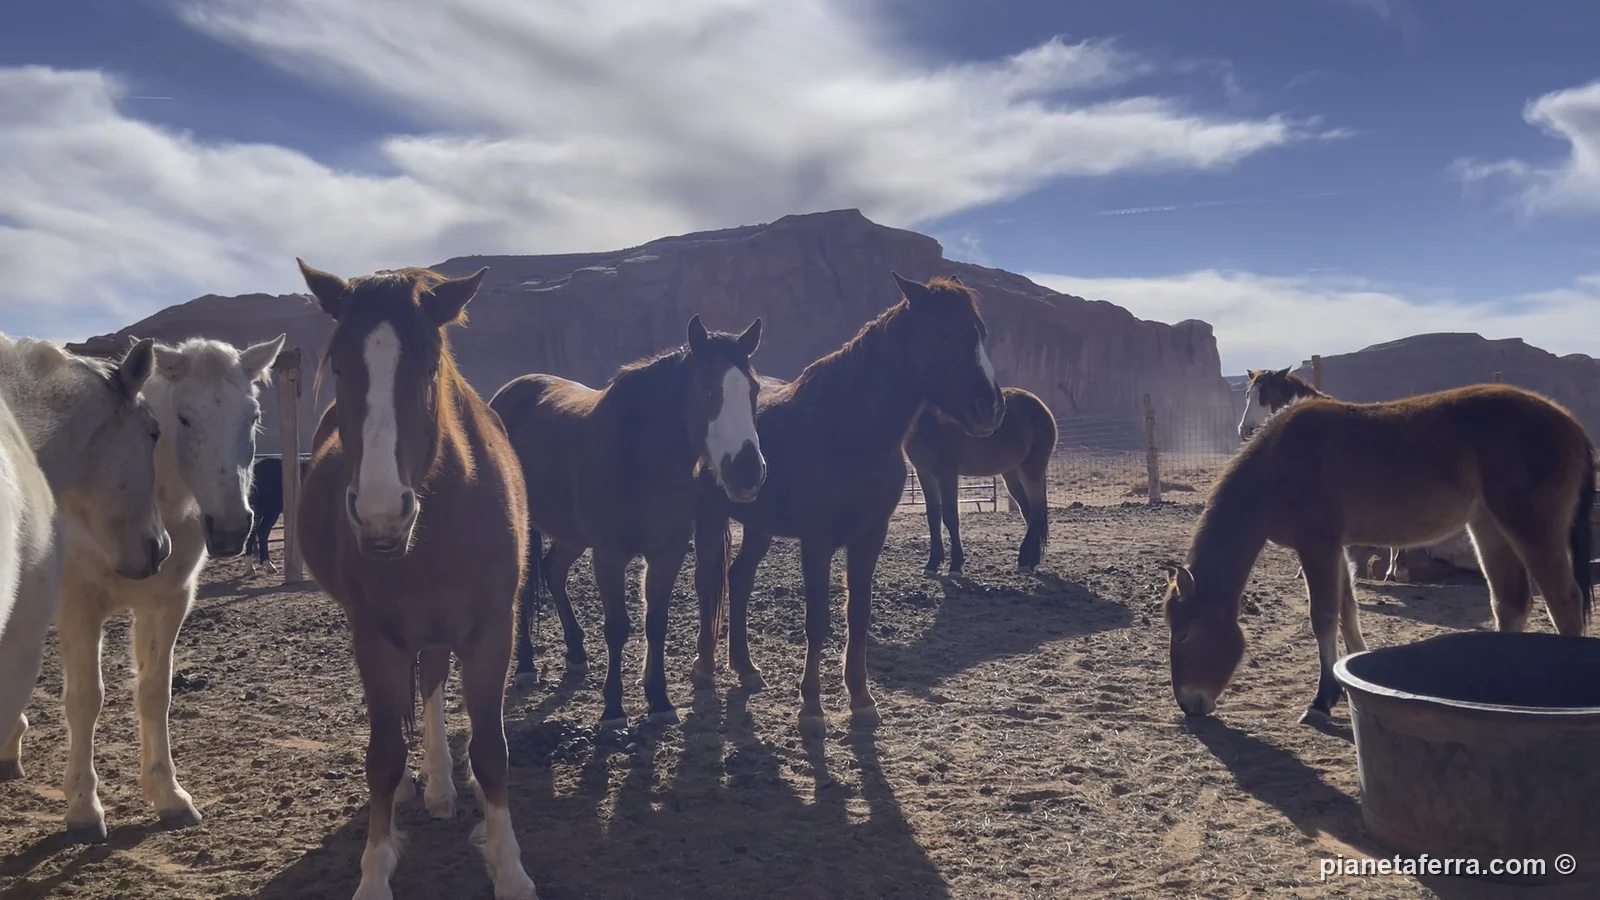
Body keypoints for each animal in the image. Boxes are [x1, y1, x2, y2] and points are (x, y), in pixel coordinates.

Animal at [35, 335, 285, 842]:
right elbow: (85, 699)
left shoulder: (167, 604)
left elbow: (155, 693)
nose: (231, 528)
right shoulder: (78, 608)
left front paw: (168, 796)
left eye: (252, 416)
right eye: (184, 418)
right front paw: (84, 808)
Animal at [295, 260, 537, 900]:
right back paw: (419, 781)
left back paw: (443, 783)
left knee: (430, 684)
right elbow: (380, 755)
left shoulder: (492, 631)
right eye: (342, 366)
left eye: (429, 366)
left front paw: (509, 867)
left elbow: (493, 749)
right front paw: (375, 873)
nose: (382, 515)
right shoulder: (376, 636)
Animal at [489, 315, 765, 728]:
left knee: (553, 569)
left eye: (754, 390)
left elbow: (656, 622)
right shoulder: (609, 555)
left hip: (572, 535)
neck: (637, 455)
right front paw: (614, 709)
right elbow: (617, 628)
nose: (748, 472)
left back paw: (575, 654)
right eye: (707, 389)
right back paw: (524, 665)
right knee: (523, 587)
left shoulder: (666, 554)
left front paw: (660, 700)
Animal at [691, 272, 1005, 734]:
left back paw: (746, 668)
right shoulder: (817, 541)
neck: (848, 430)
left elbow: (858, 613)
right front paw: (811, 706)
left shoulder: (870, 536)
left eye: (981, 333)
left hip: (759, 526)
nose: (991, 408)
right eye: (945, 333)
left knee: (740, 578)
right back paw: (704, 668)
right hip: (709, 518)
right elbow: (818, 619)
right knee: (709, 582)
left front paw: (861, 698)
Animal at [904, 386, 1056, 577]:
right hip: (1012, 474)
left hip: (1031, 469)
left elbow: (950, 516)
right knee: (1029, 511)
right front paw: (932, 563)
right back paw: (1032, 561)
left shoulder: (947, 473)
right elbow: (933, 517)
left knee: (1036, 510)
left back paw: (1023, 560)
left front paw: (955, 566)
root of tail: (1041, 406)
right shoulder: (925, 473)